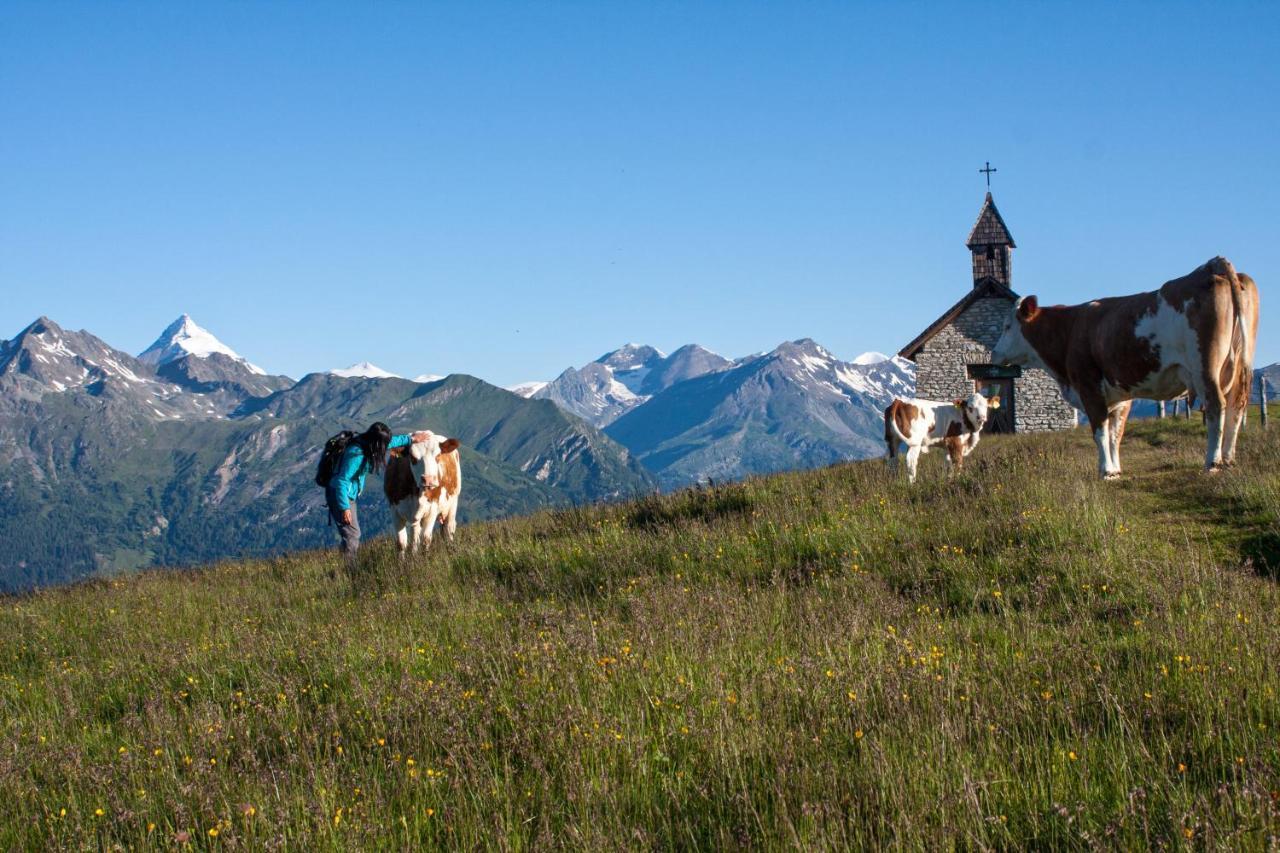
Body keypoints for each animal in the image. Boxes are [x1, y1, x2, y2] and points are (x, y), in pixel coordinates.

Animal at [384, 427, 465, 555]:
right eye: (412, 458)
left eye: (438, 455)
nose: (428, 479)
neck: (416, 492)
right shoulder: (394, 509)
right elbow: (401, 543)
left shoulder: (432, 509)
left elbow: (426, 539)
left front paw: (426, 558)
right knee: (416, 535)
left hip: (453, 502)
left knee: (449, 529)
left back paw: (451, 550)